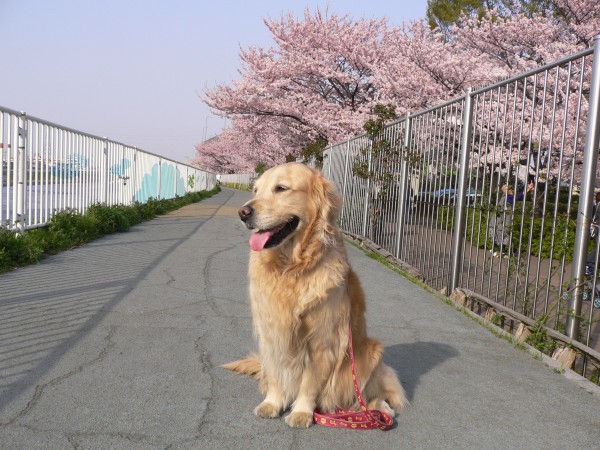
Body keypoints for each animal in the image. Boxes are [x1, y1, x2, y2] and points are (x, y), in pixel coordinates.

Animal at [224, 163, 408, 428]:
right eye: (256, 190)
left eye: (281, 188)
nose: (243, 212)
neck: (292, 268)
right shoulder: (272, 333)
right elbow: (277, 376)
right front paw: (272, 404)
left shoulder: (322, 341)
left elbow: (309, 384)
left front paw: (301, 412)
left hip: (370, 354)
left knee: (368, 396)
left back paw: (381, 411)